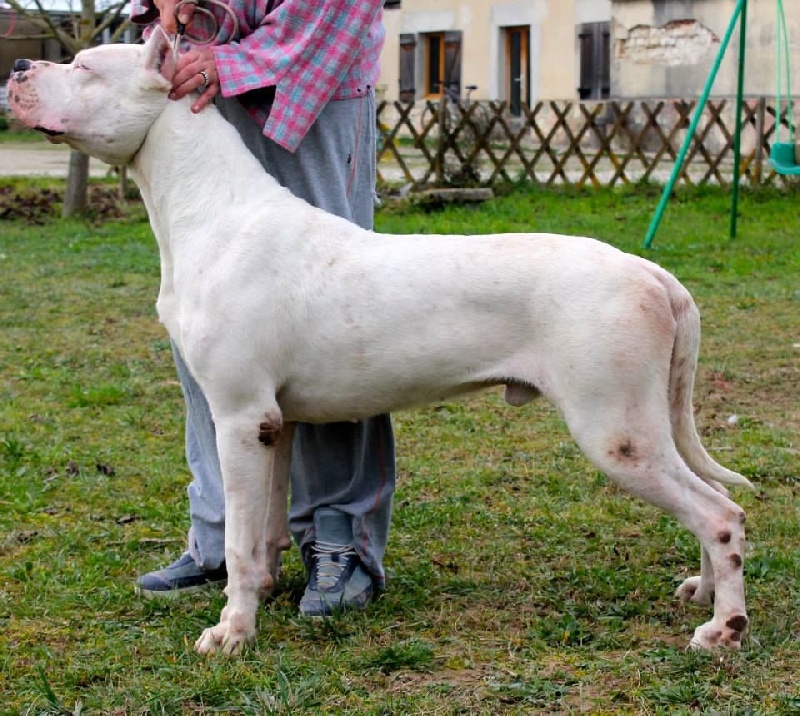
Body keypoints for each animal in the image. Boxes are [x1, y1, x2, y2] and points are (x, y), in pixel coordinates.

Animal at [9, 28, 752, 656]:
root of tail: (652, 273)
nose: (17, 67)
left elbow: (243, 544)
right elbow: (266, 532)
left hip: (616, 432)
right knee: (711, 508)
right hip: (644, 429)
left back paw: (724, 627)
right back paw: (705, 592)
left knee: (718, 513)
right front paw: (264, 599)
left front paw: (232, 633)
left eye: (84, 68)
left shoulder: (239, 418)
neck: (211, 207)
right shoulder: (271, 425)